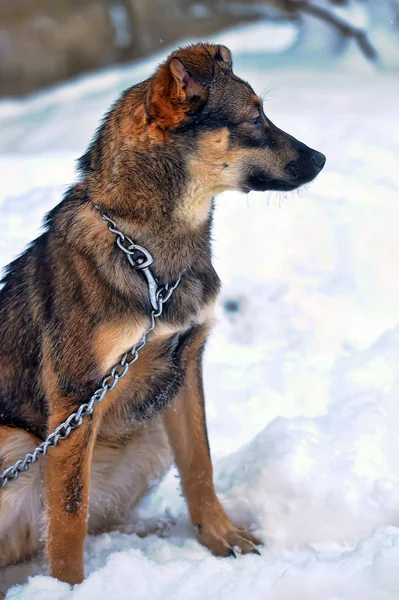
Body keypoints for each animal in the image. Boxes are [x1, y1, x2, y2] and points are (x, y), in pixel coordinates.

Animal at [0, 43, 324, 584]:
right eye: (254, 116)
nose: (321, 158)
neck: (148, 257)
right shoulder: (76, 400)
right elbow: (67, 517)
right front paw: (70, 588)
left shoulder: (185, 365)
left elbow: (200, 467)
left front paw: (221, 538)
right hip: (17, 445)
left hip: (145, 430)